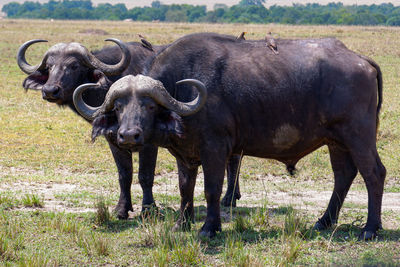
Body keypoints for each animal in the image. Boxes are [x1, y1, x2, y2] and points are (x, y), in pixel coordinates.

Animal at [17, 38, 242, 222]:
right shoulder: (113, 139)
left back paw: (229, 197)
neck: (111, 82)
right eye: (50, 66)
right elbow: (124, 174)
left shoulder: (149, 143)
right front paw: (121, 209)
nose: (50, 91)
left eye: (73, 65)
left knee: (233, 160)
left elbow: (145, 175)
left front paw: (148, 209)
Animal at [74, 31, 384, 241]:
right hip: (336, 141)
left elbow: (212, 189)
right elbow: (185, 188)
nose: (128, 136)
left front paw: (209, 228)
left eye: (149, 106)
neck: (182, 89)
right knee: (344, 175)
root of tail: (361, 60)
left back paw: (370, 229)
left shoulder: (215, 148)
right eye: (119, 107)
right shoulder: (184, 154)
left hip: (358, 135)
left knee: (373, 173)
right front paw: (182, 223)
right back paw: (324, 221)